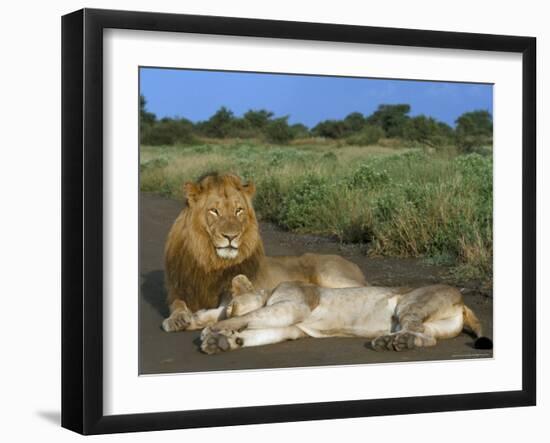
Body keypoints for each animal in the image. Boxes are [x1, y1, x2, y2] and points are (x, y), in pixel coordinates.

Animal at [162, 173, 368, 332]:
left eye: (239, 210)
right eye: (214, 211)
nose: (231, 236)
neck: (211, 262)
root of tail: (353, 264)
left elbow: (222, 310)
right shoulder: (178, 291)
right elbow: (177, 305)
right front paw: (178, 319)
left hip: (331, 276)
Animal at [201, 276, 494, 356]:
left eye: (231, 305)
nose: (227, 309)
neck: (269, 290)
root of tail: (462, 301)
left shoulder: (294, 307)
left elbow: (249, 317)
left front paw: (213, 331)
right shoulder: (293, 328)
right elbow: (257, 333)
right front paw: (224, 342)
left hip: (410, 303)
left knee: (417, 330)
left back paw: (392, 342)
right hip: (436, 325)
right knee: (427, 336)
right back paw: (397, 342)